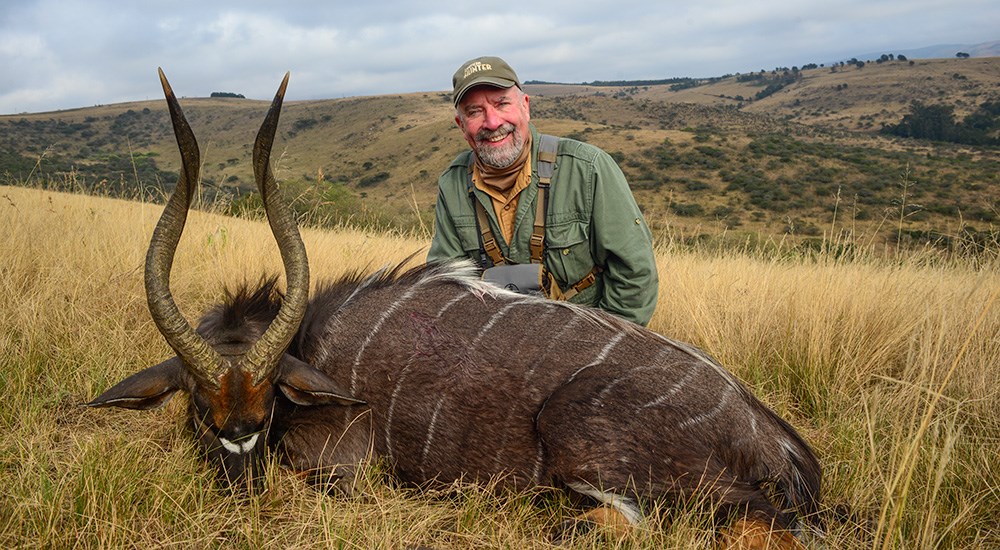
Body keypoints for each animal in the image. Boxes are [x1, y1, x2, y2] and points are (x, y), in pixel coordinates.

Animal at [88, 69, 820, 548]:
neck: (314, 348)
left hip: (593, 439)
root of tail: (776, 439)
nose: (238, 446)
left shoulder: (342, 469)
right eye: (194, 396)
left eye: (269, 398)